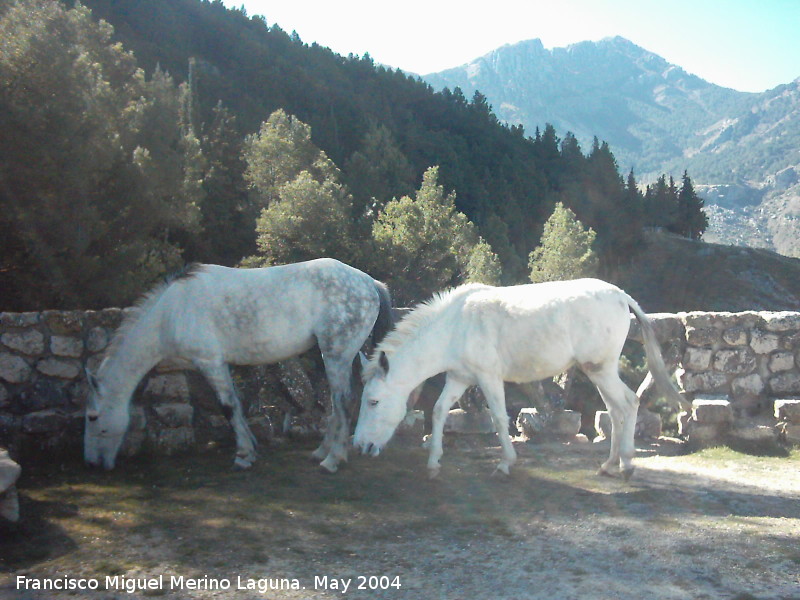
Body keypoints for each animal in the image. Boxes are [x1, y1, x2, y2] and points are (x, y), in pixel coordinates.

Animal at [84, 258, 390, 474]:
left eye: (92, 417)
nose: (91, 462)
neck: (171, 313)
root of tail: (369, 282)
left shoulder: (210, 363)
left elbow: (228, 407)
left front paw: (242, 455)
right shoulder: (218, 365)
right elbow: (237, 405)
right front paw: (250, 448)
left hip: (337, 354)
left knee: (342, 401)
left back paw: (333, 459)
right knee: (336, 403)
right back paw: (321, 452)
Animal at [354, 278, 684, 480]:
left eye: (373, 401)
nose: (360, 447)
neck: (455, 326)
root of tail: (620, 295)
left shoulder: (488, 377)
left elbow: (500, 418)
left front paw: (504, 464)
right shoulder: (459, 377)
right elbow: (437, 411)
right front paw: (434, 463)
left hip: (600, 369)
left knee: (629, 404)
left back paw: (627, 464)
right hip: (599, 371)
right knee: (617, 410)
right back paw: (609, 465)